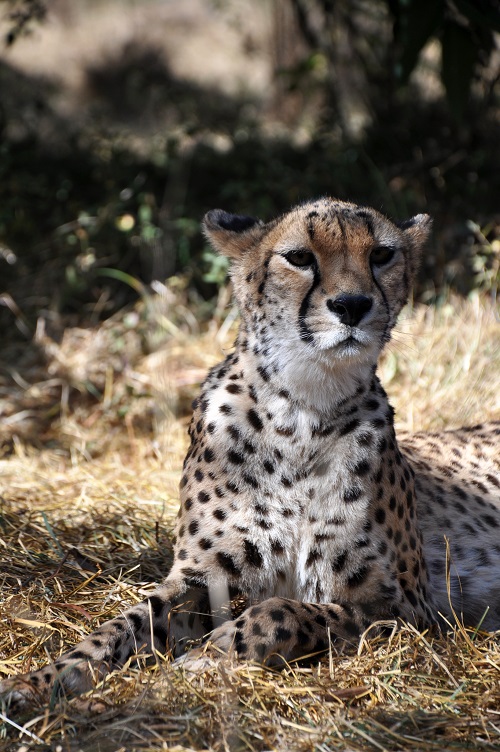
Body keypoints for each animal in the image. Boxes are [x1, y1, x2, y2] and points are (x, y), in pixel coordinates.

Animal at [0, 195, 500, 712]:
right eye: (299, 257)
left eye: (381, 254)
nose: (352, 305)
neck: (302, 409)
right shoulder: (201, 577)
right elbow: (125, 621)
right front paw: (45, 678)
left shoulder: (407, 609)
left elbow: (282, 610)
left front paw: (203, 659)